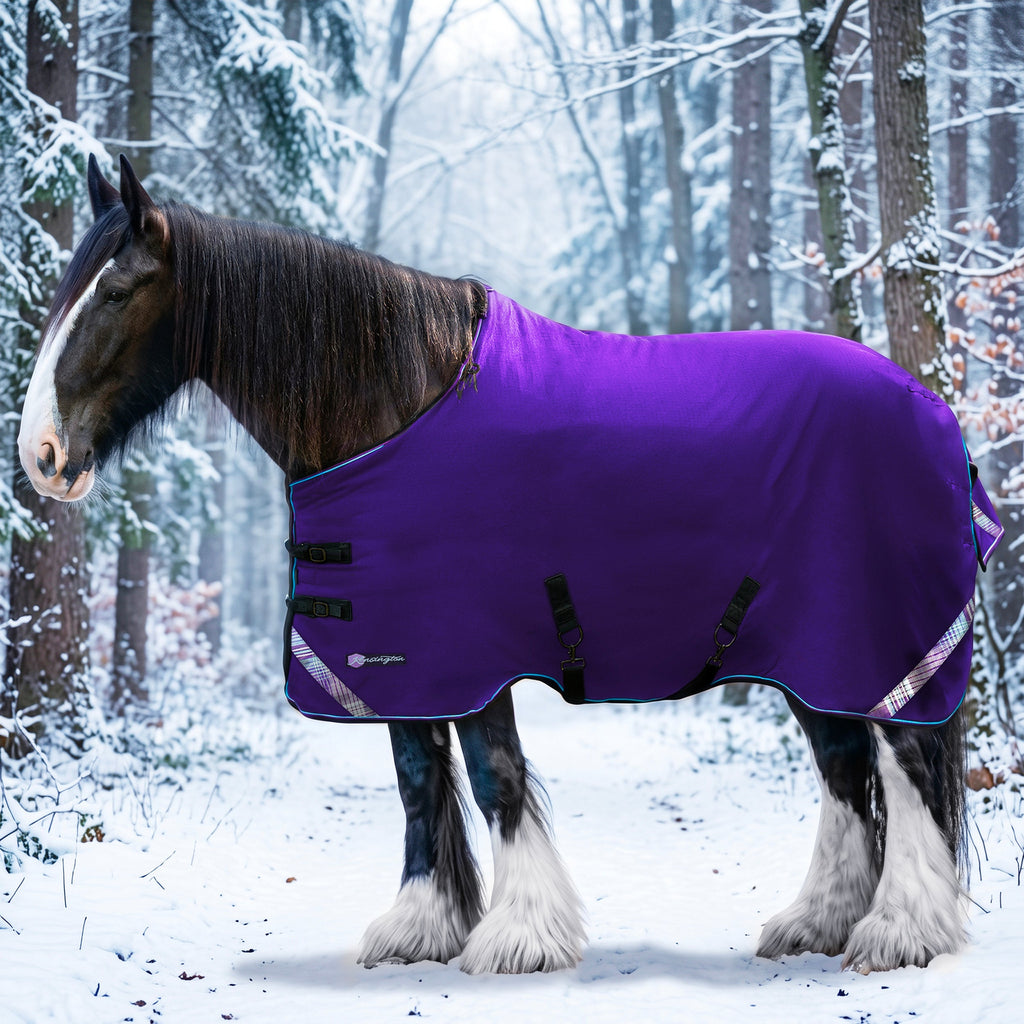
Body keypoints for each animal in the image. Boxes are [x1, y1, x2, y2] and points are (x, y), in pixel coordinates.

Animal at [17, 155, 997, 975]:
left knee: (905, 766)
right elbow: (419, 781)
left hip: (872, 644)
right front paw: (421, 928)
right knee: (846, 772)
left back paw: (899, 931)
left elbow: (496, 777)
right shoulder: (405, 657)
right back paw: (818, 923)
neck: (399, 402)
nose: (41, 455)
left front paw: (521, 935)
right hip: (811, 658)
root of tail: (936, 413)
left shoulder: (470, 652)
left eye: (116, 291)